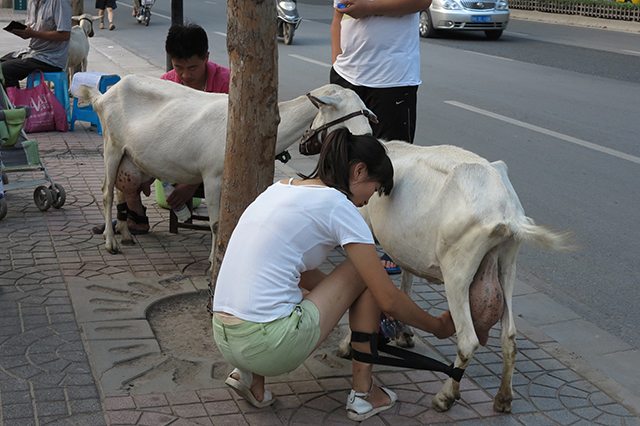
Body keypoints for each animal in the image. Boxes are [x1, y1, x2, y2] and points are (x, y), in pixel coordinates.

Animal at [80, 76, 378, 264]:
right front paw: (214, 263)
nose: (370, 140)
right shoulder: (212, 176)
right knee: (107, 192)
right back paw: (111, 243)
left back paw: (126, 235)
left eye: (366, 112)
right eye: (344, 116)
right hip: (112, 145)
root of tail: (104, 95)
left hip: (129, 157)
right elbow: (215, 223)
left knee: (122, 188)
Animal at [338, 141, 572, 414]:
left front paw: (347, 344)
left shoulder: (362, 229)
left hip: (458, 271)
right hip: (507, 262)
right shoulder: (405, 250)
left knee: (468, 340)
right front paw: (404, 334)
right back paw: (503, 398)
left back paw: (445, 396)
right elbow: (405, 283)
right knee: (509, 337)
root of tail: (505, 212)